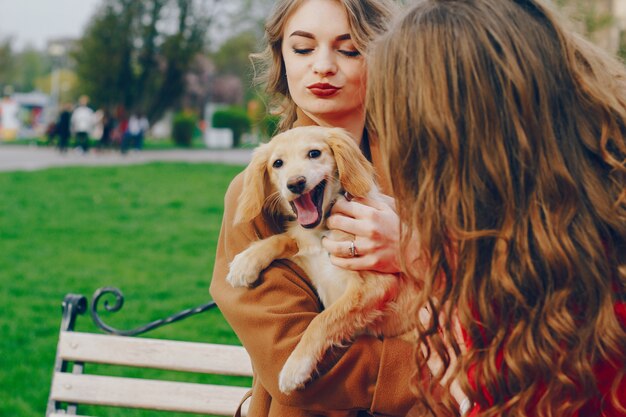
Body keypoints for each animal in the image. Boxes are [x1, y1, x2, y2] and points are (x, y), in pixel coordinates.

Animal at [224, 126, 420, 394]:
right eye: (277, 163)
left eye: (314, 153)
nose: (296, 183)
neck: (322, 230)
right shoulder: (306, 252)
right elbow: (281, 239)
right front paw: (246, 262)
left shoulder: (376, 285)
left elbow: (322, 321)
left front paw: (295, 367)